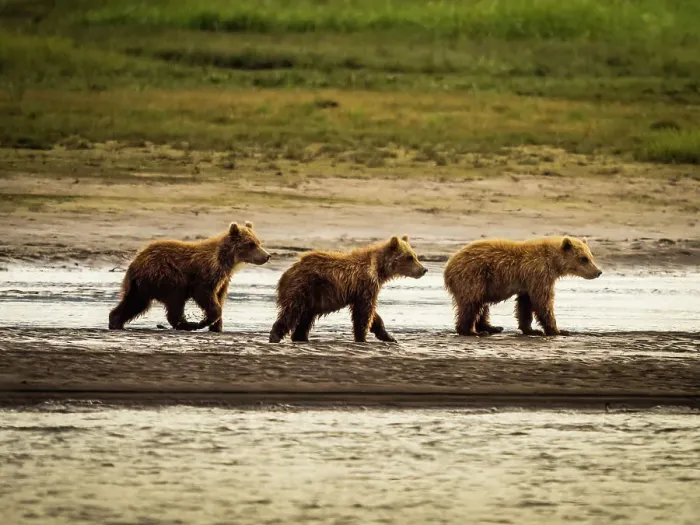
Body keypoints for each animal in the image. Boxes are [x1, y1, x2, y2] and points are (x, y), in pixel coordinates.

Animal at [108, 221, 270, 332]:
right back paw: (188, 325)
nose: (267, 256)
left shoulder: (224, 279)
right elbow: (205, 295)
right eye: (251, 244)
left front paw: (217, 327)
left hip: (142, 284)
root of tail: (136, 261)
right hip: (166, 275)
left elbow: (220, 297)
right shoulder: (206, 274)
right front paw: (206, 321)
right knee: (174, 301)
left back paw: (116, 321)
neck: (226, 261)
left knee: (135, 302)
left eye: (258, 242)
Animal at [269, 236, 428, 343]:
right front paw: (362, 338)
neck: (378, 269)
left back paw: (301, 337)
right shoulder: (366, 284)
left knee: (305, 319)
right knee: (291, 313)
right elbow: (364, 313)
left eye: (415, 255)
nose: (424, 269)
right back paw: (275, 337)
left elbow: (373, 314)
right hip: (303, 288)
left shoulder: (362, 290)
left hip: (311, 297)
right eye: (409, 257)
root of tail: (286, 273)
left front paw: (389, 336)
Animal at [443, 236, 602, 337]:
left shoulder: (528, 282)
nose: (598, 271)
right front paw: (558, 330)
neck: (552, 263)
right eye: (584, 258)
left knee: (482, 305)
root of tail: (448, 267)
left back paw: (492, 327)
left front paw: (531, 330)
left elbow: (525, 305)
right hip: (473, 277)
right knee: (472, 303)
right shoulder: (539, 274)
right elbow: (543, 302)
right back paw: (471, 331)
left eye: (591, 256)